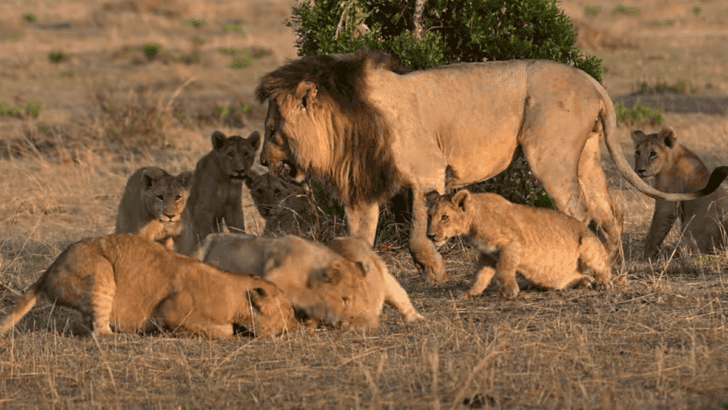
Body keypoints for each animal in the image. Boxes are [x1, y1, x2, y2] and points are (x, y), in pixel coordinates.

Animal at [0, 234, 296, 338]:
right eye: (289, 311)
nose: (296, 324)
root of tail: (47, 272)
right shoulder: (170, 312)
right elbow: (223, 331)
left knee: (84, 325)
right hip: (101, 272)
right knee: (98, 332)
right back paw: (123, 335)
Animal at [193, 232, 423, 329]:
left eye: (364, 297)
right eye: (345, 299)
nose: (365, 322)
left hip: (390, 282)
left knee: (403, 299)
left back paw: (417, 319)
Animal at [426, 189, 612, 298]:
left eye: (444, 217)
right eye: (429, 216)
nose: (430, 235)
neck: (472, 222)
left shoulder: (512, 244)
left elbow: (504, 269)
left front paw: (510, 291)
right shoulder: (487, 254)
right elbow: (481, 276)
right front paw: (469, 293)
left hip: (588, 244)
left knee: (603, 268)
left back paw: (603, 283)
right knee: (581, 276)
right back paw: (582, 282)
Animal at [632, 127, 728, 258]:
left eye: (653, 153)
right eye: (637, 152)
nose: (640, 170)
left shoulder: (668, 202)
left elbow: (655, 231)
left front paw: (646, 256)